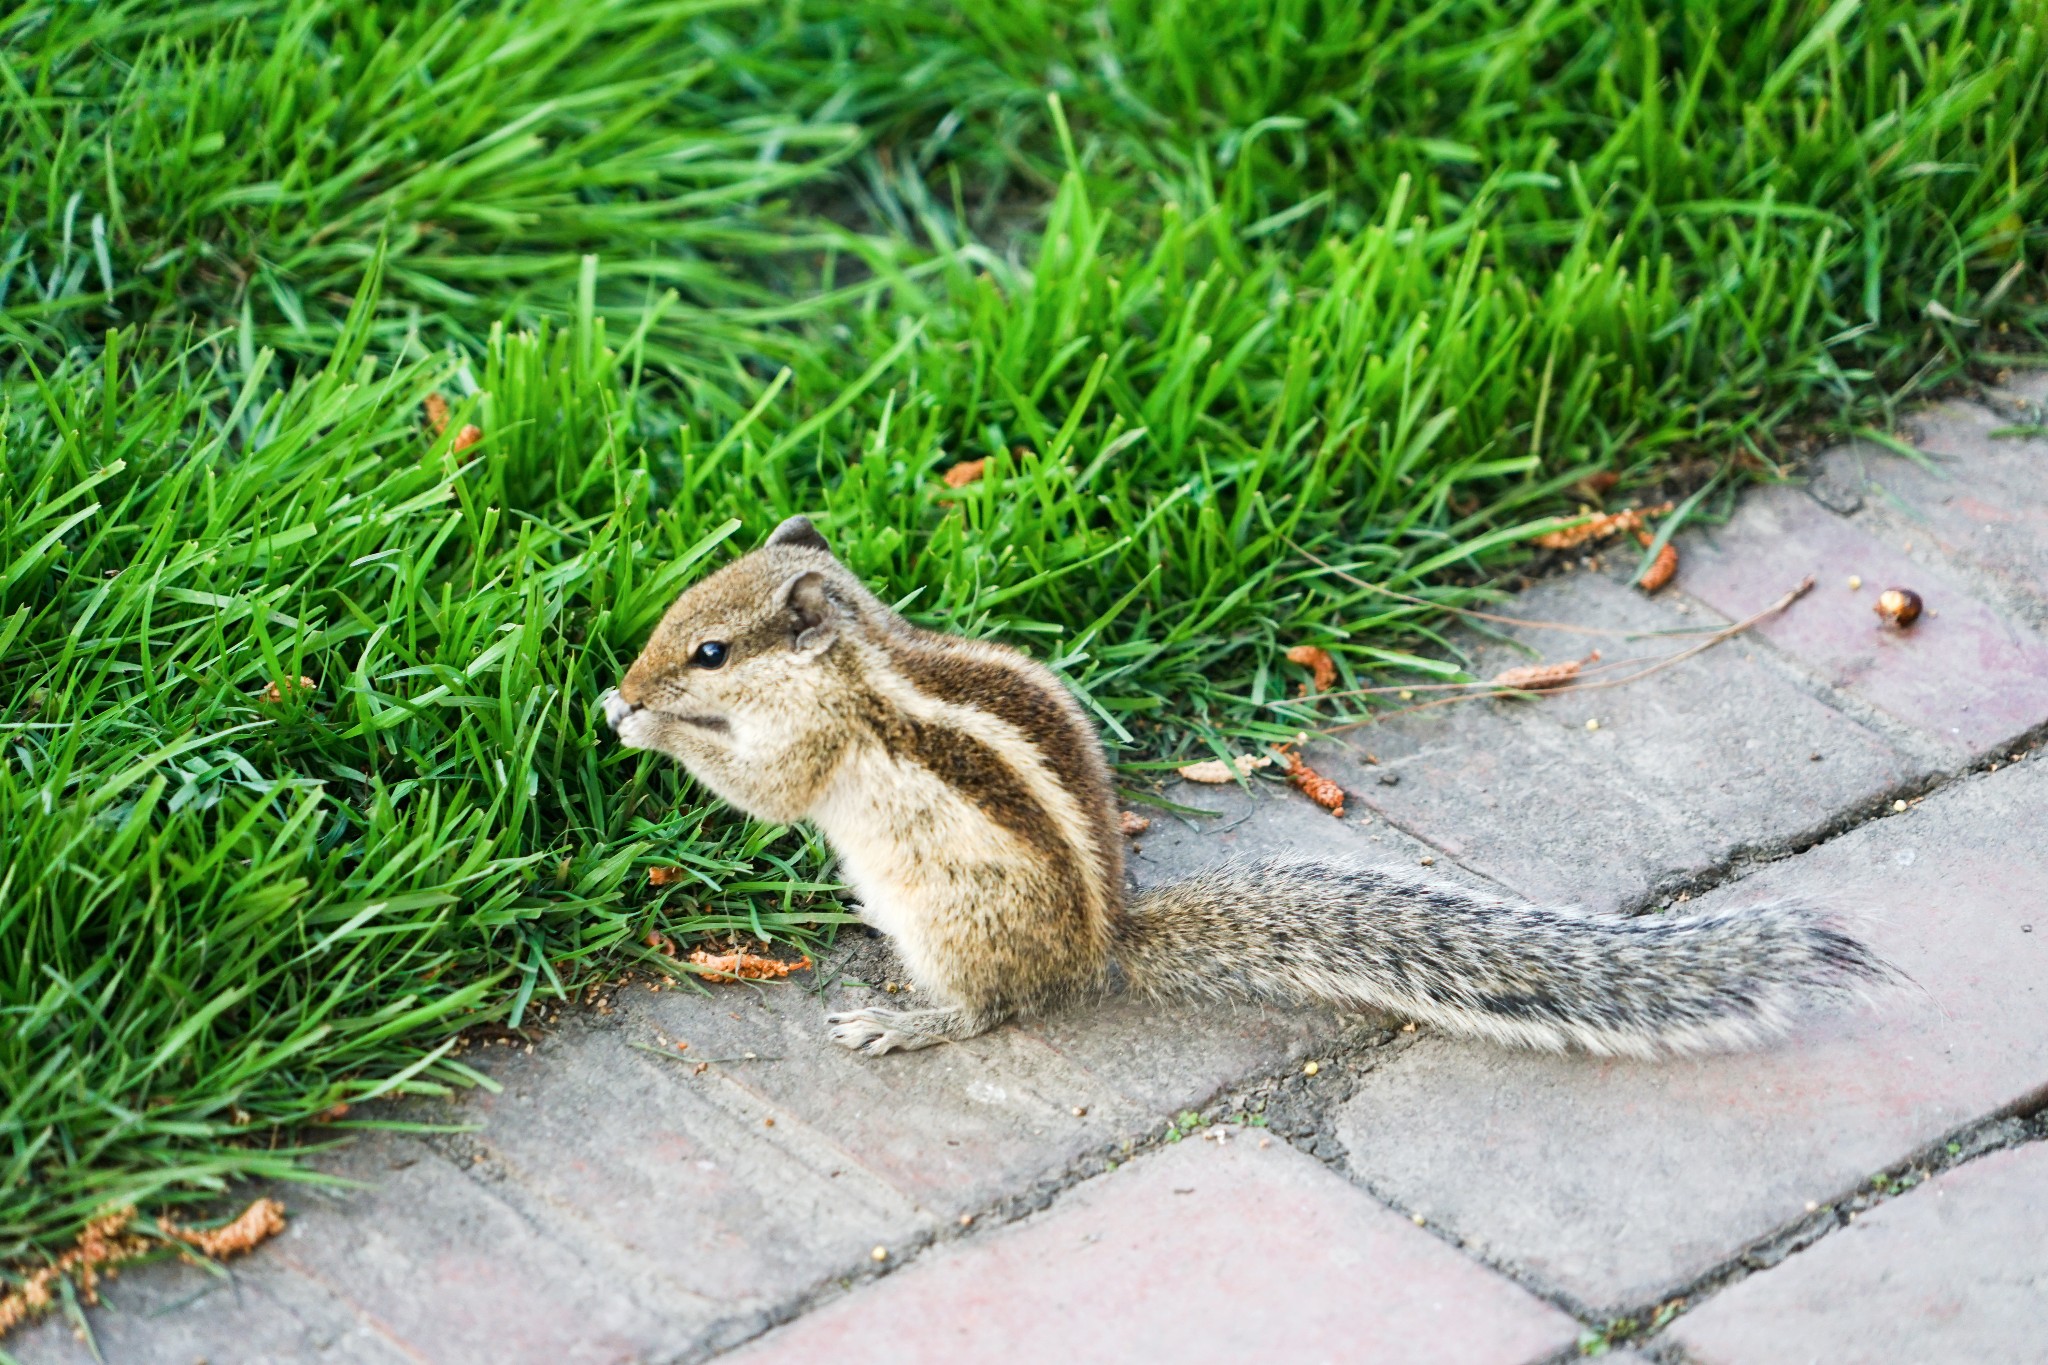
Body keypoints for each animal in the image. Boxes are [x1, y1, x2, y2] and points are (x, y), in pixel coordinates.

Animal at [598, 517, 1892, 1064]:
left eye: (708, 651)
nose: (630, 680)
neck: (867, 656)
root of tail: (1100, 946)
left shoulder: (813, 745)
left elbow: (765, 790)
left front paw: (640, 724)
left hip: (954, 923)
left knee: (992, 1010)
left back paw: (905, 1018)